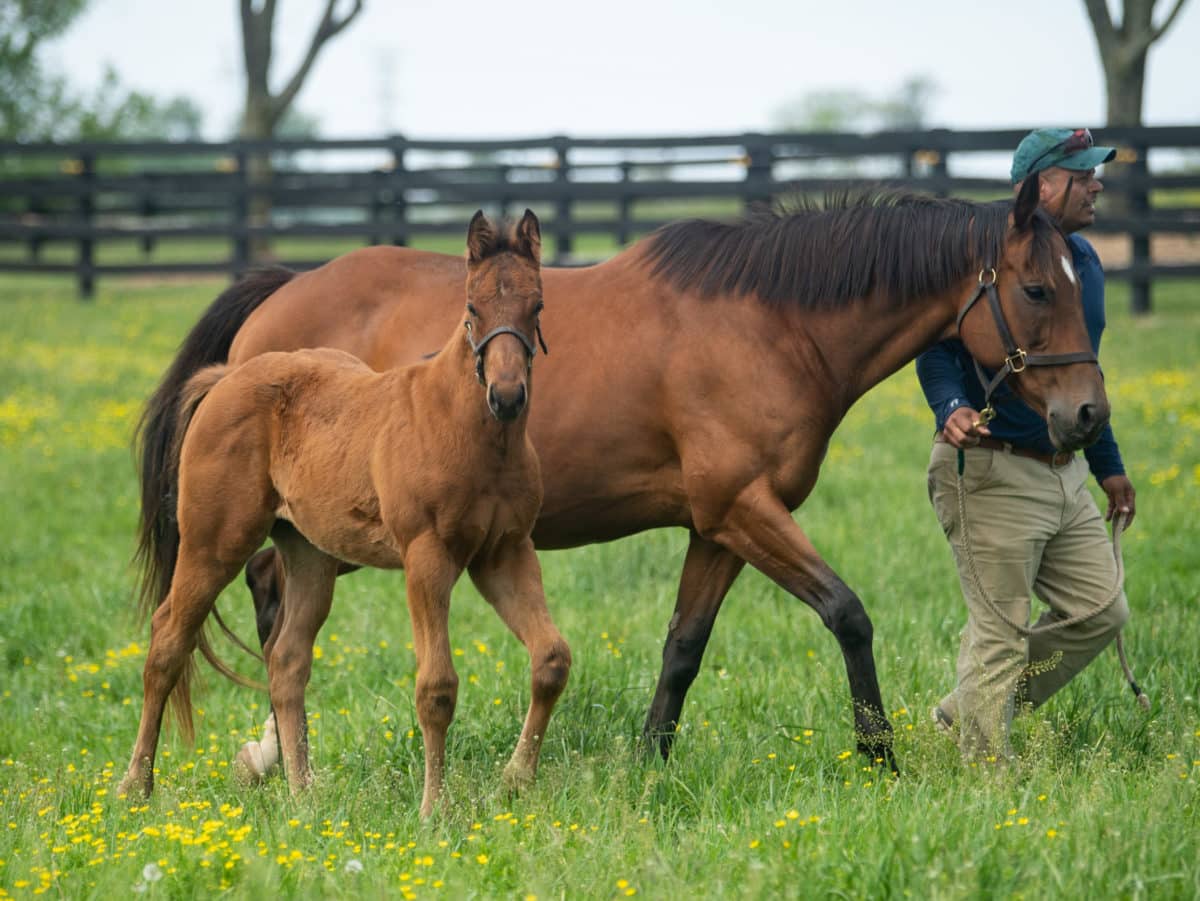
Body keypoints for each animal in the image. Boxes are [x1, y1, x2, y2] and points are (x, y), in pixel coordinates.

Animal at [119, 213, 568, 815]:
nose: (507, 395)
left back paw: (303, 793)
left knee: (287, 659)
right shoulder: (428, 556)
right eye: (472, 309)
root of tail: (223, 381)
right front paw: (433, 809)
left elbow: (551, 659)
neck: (467, 429)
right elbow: (437, 687)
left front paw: (514, 781)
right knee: (168, 640)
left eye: (537, 307)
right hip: (214, 542)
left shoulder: (504, 552)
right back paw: (135, 785)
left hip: (308, 553)